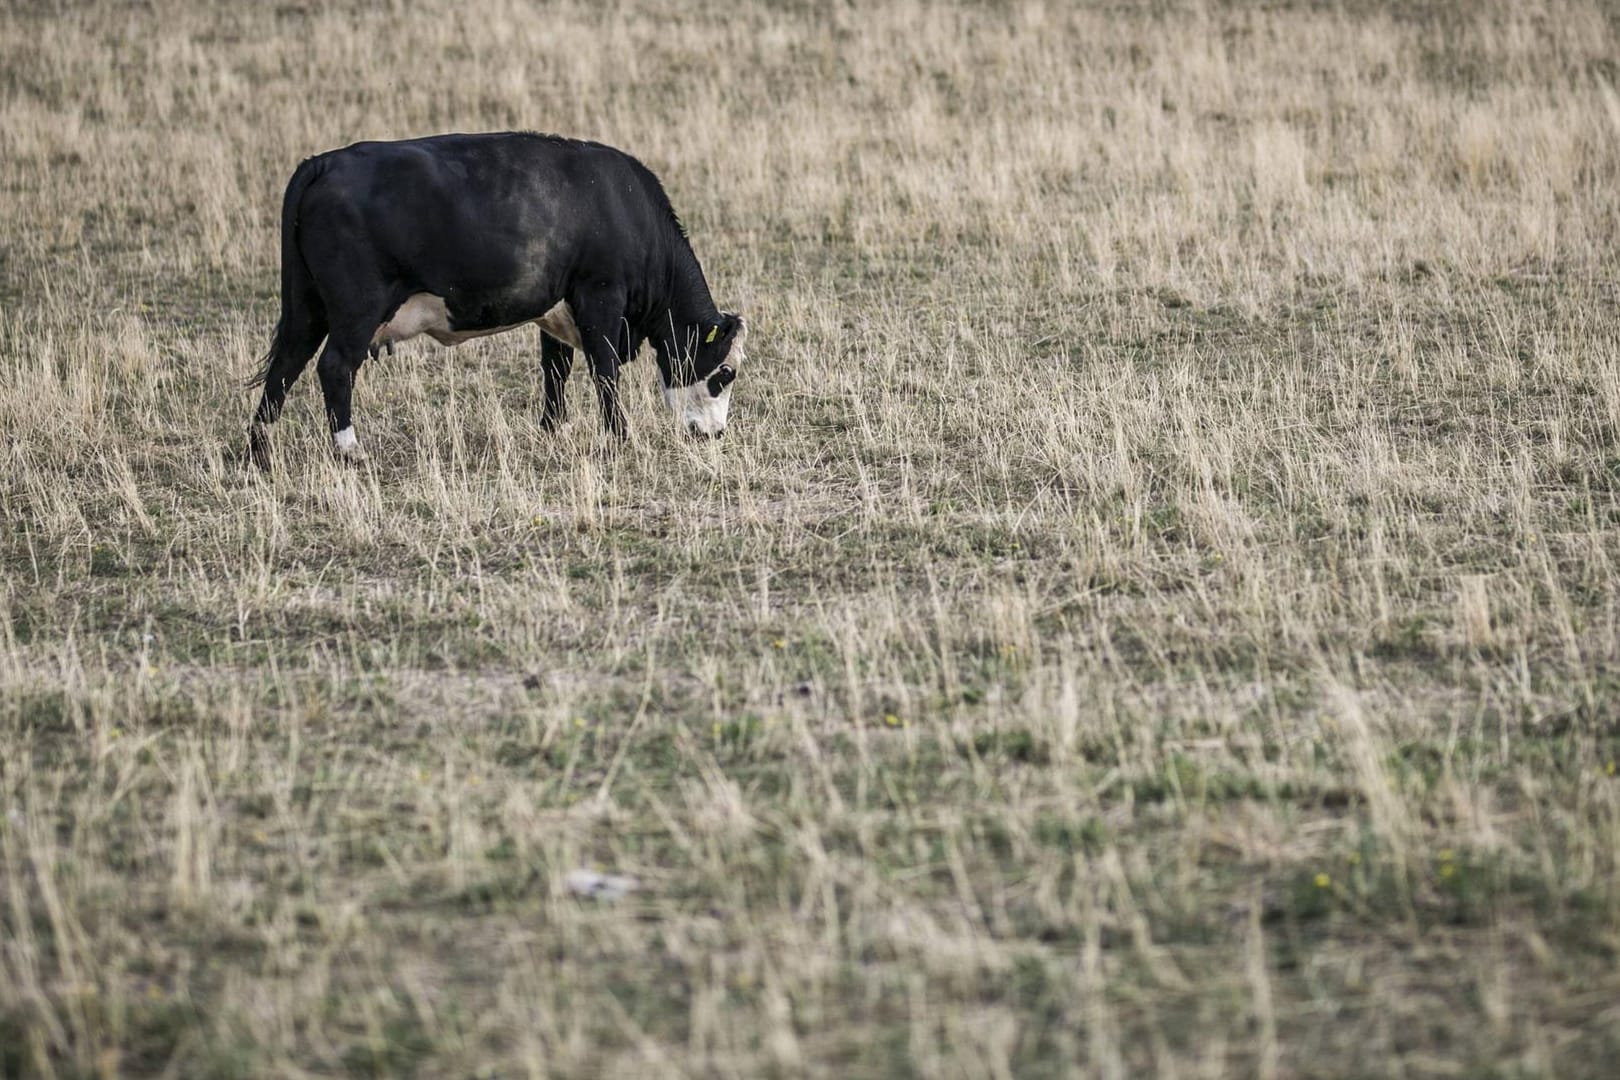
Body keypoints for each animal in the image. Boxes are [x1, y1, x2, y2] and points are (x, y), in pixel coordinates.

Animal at [246, 128, 745, 466]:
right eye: (725, 373)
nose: (715, 434)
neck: (620, 204)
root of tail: (325, 162)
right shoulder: (600, 298)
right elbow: (604, 371)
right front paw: (618, 436)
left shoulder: (557, 310)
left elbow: (555, 370)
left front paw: (553, 429)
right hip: (357, 310)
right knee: (333, 368)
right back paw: (350, 450)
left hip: (307, 309)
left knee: (284, 367)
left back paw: (259, 450)